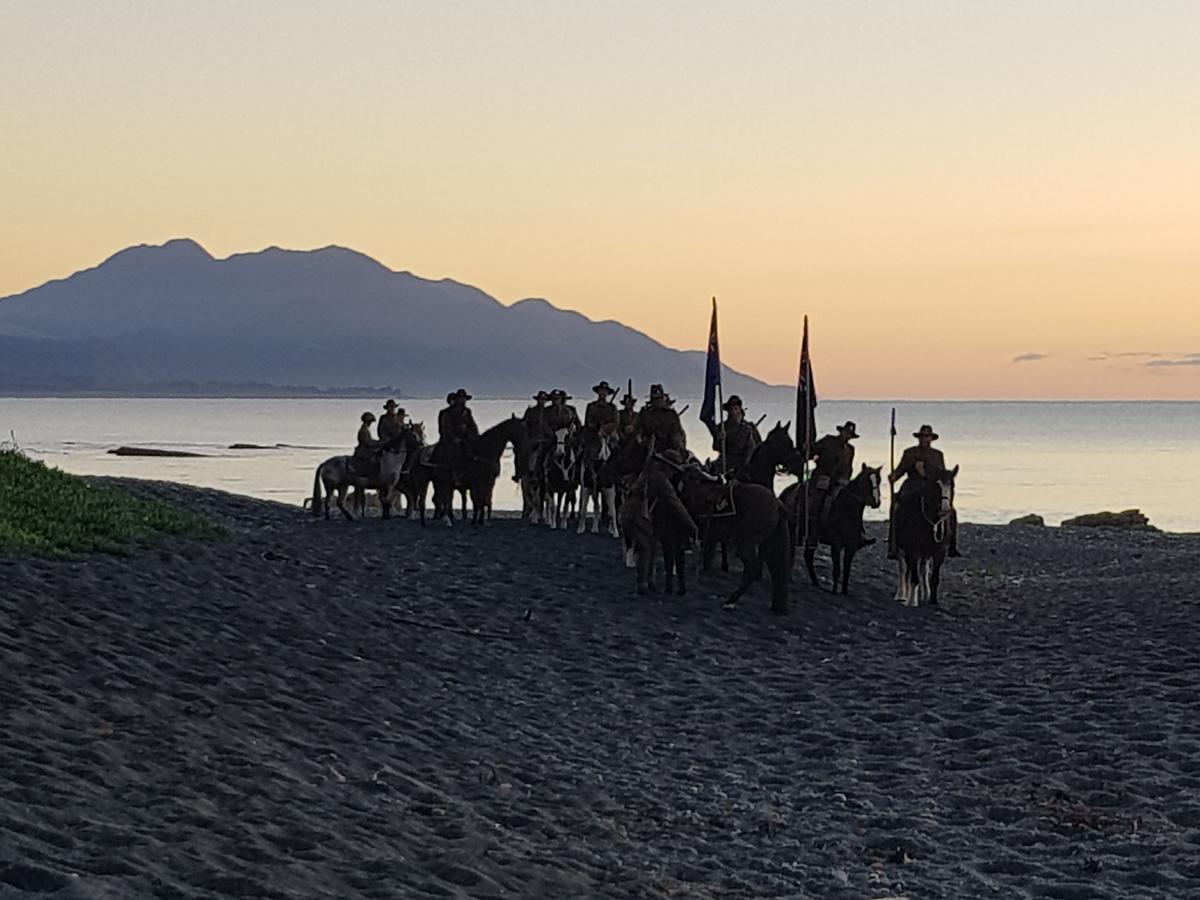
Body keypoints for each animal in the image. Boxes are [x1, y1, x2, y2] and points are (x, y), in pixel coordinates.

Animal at [681, 472, 792, 614]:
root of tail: (777, 504)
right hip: (771, 542)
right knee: (777, 569)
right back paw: (777, 607)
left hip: (745, 542)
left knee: (754, 569)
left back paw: (730, 601)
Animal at [777, 465, 883, 600]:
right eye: (866, 481)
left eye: (878, 481)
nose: (876, 502)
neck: (847, 509)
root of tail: (786, 492)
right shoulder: (836, 545)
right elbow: (837, 569)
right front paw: (834, 591)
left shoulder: (851, 547)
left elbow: (847, 569)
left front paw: (844, 591)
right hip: (792, 529)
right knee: (791, 552)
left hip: (811, 537)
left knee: (808, 556)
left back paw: (815, 582)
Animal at [897, 468, 960, 609]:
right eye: (936, 486)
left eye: (952, 485)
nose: (945, 510)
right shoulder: (912, 550)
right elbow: (913, 576)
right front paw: (912, 600)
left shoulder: (939, 551)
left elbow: (934, 577)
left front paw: (933, 600)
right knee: (904, 569)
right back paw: (902, 594)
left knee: (923, 570)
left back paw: (925, 594)